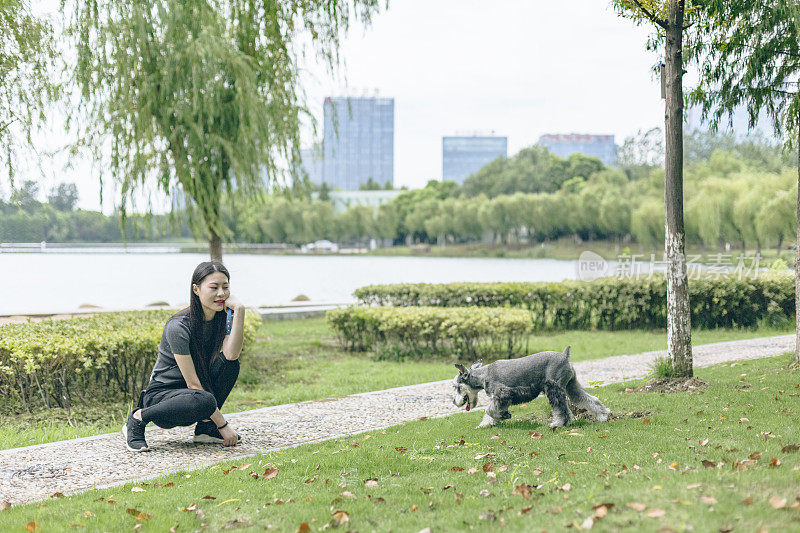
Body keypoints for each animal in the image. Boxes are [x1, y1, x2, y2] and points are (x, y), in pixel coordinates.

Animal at [450, 344, 612, 428]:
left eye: (456, 387)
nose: (453, 401)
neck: (483, 375)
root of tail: (565, 356)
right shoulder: (499, 398)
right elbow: (488, 413)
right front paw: (485, 425)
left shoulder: (502, 394)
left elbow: (489, 410)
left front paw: (504, 415)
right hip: (571, 386)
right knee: (590, 399)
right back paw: (603, 415)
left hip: (553, 388)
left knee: (561, 408)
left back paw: (558, 423)